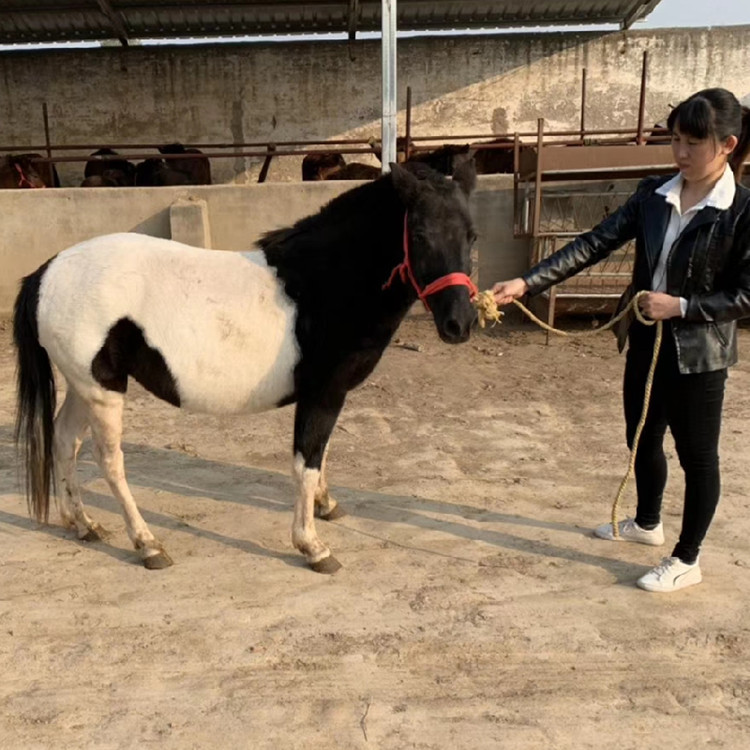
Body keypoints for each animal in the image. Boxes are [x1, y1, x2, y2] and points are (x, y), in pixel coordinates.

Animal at [13, 161, 479, 573]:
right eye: (419, 234)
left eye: (472, 235)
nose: (459, 323)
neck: (324, 283)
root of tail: (46, 272)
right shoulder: (322, 393)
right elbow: (306, 462)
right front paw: (312, 547)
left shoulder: (329, 395)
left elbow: (321, 453)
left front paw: (325, 504)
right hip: (103, 390)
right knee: (109, 462)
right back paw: (148, 545)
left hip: (84, 385)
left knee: (64, 441)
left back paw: (83, 524)